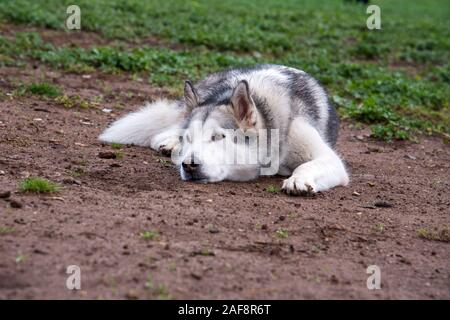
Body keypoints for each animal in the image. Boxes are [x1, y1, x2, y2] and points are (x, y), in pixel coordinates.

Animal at [100, 64, 350, 195]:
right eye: (189, 138)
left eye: (218, 137)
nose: (189, 165)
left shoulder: (329, 158)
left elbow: (309, 164)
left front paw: (298, 179)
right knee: (159, 134)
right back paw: (170, 143)